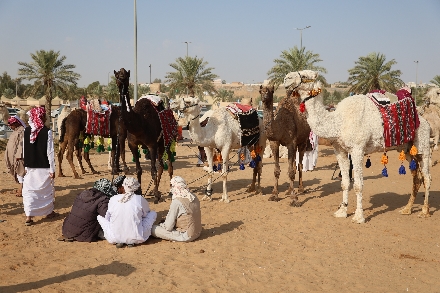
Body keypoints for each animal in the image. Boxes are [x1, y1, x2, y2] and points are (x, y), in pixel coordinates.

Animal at [114, 68, 174, 203]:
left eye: (126, 75)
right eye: (117, 75)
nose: (121, 78)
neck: (139, 123)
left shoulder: (151, 145)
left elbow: (152, 170)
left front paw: (156, 196)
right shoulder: (133, 145)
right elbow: (139, 170)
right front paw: (140, 192)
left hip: (166, 141)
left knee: (168, 165)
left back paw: (170, 191)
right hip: (159, 144)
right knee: (161, 164)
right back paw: (154, 190)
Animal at [284, 69, 432, 222]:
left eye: (305, 76)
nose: (286, 78)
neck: (338, 122)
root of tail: (425, 122)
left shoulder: (357, 150)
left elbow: (358, 185)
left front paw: (359, 216)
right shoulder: (340, 151)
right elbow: (344, 183)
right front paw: (342, 211)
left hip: (423, 146)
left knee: (427, 178)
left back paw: (424, 211)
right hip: (407, 150)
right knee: (417, 178)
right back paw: (407, 209)